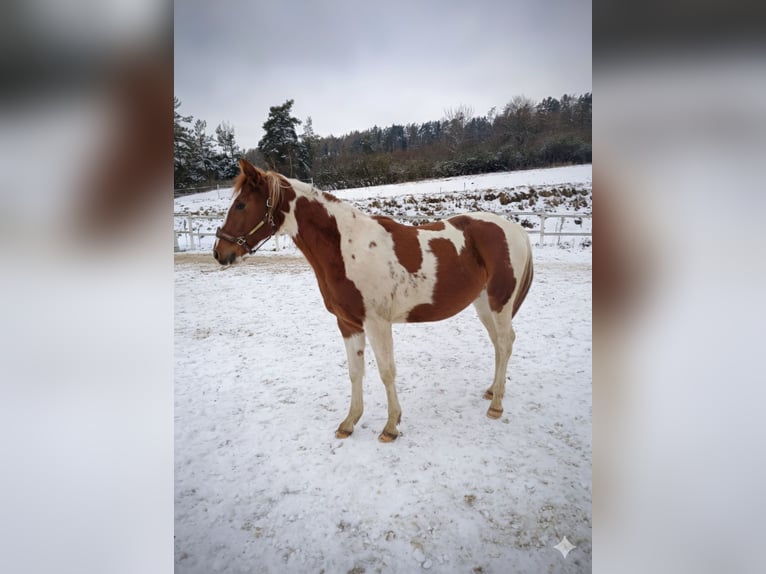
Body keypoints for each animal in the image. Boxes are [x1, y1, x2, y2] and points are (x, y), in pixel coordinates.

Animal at [213, 159, 534, 442]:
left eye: (241, 205)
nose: (220, 252)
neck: (347, 248)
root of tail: (515, 229)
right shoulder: (348, 324)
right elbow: (356, 373)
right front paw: (349, 422)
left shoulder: (377, 323)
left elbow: (386, 372)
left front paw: (391, 427)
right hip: (483, 304)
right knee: (499, 344)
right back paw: (492, 391)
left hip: (500, 301)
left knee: (505, 343)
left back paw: (496, 406)